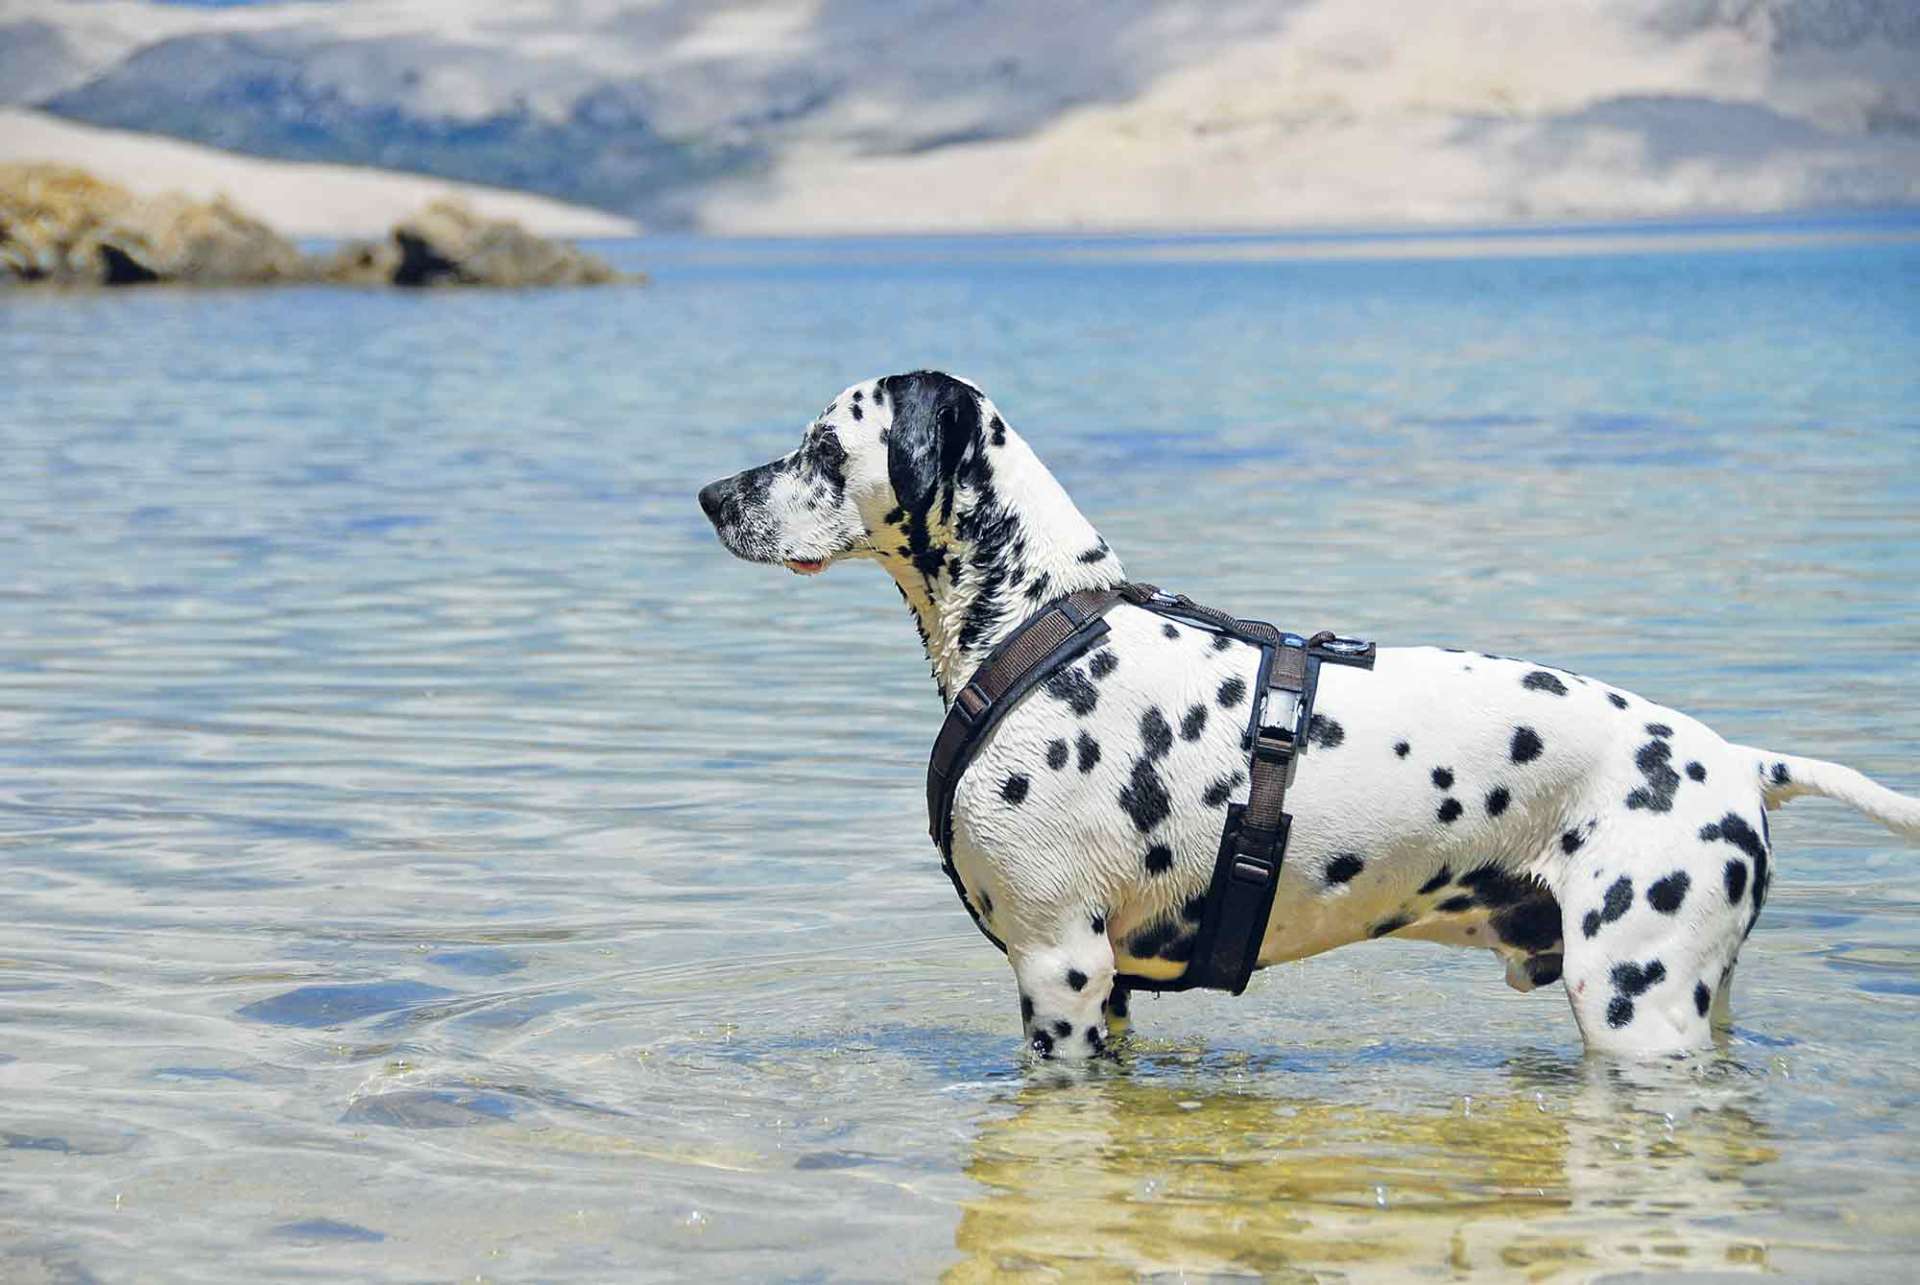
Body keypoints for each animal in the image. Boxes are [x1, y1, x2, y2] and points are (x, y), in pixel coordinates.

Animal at [698, 370, 1920, 1060]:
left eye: (822, 446)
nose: (712, 497)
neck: (1042, 622)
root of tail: (1741, 761)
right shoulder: (1111, 993)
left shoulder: (1059, 973)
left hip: (1636, 1004)